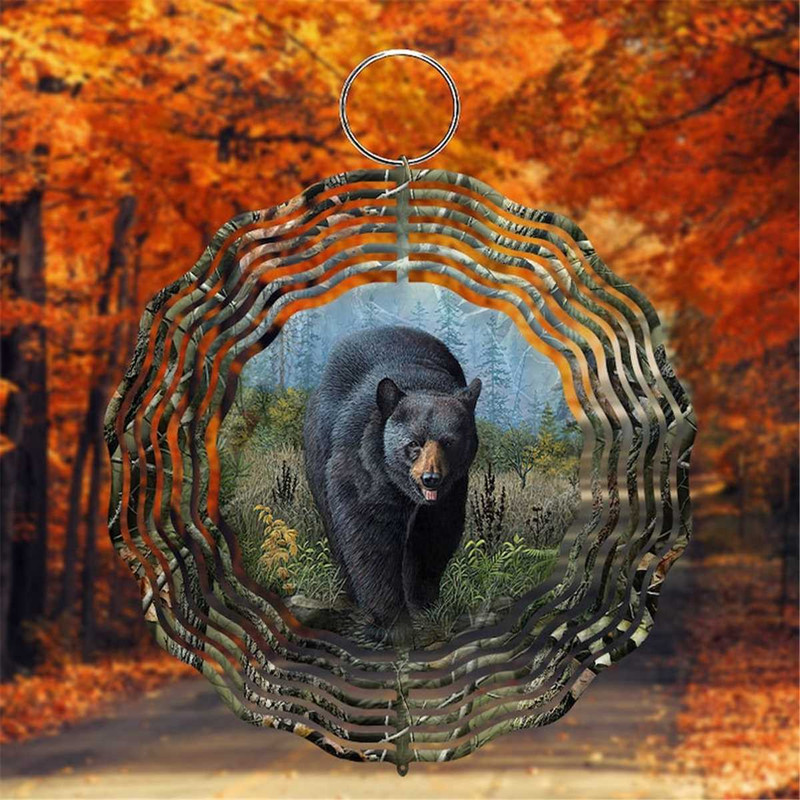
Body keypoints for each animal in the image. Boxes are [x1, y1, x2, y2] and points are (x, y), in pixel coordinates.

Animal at [303, 325, 481, 629]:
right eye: (414, 444)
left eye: (449, 442)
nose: (431, 478)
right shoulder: (363, 464)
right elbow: (370, 534)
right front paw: (389, 614)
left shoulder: (454, 488)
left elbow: (435, 535)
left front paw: (422, 603)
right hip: (318, 451)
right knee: (334, 529)